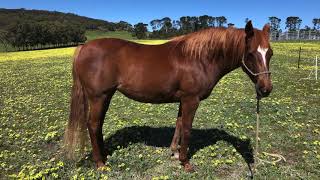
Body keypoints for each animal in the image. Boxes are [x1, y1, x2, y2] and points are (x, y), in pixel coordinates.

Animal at [64, 20, 272, 171]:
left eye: (269, 53)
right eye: (251, 54)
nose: (266, 89)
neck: (200, 58)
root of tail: (83, 47)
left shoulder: (183, 100)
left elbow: (179, 124)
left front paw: (174, 153)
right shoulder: (191, 100)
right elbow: (187, 128)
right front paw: (185, 163)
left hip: (106, 96)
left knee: (97, 125)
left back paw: (105, 155)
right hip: (98, 97)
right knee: (93, 125)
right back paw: (100, 163)